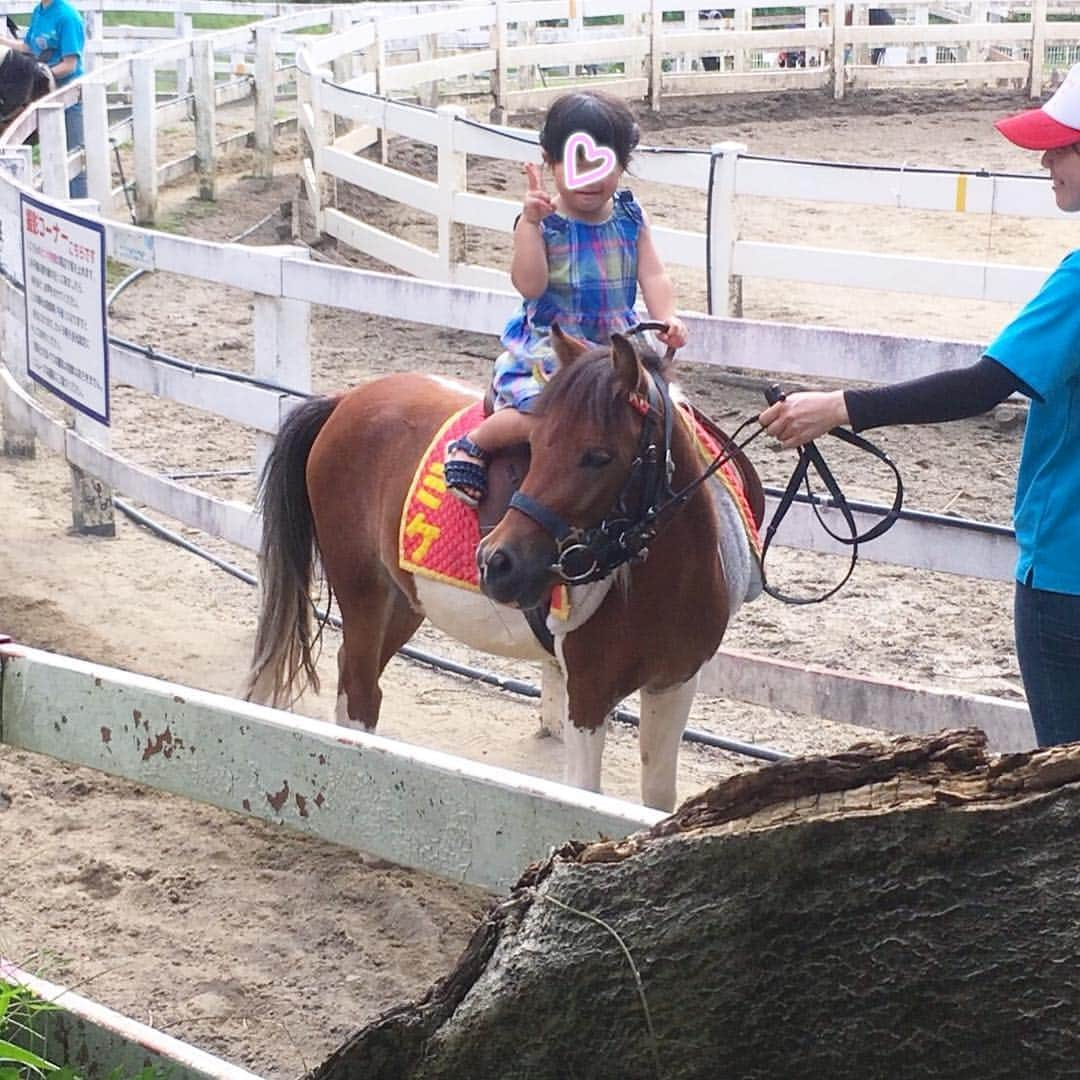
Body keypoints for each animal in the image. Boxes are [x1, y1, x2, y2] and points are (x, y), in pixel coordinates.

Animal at [248, 330, 764, 812]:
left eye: (599, 455)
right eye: (535, 444)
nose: (496, 561)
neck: (665, 585)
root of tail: (345, 401)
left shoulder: (674, 682)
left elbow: (657, 800)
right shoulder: (589, 692)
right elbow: (585, 795)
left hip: (404, 602)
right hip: (362, 592)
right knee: (357, 691)